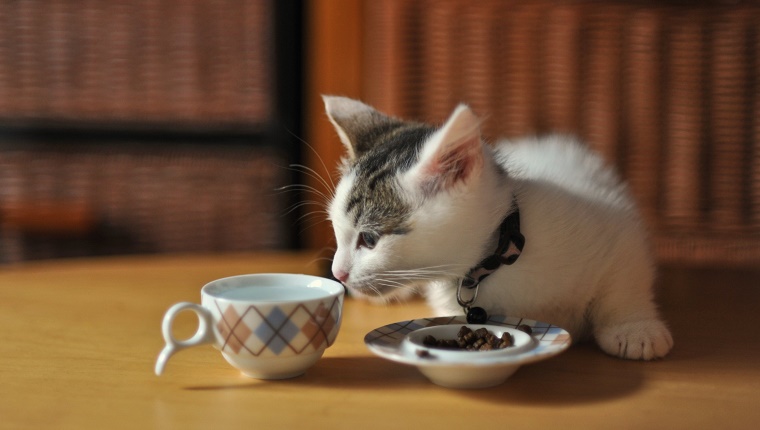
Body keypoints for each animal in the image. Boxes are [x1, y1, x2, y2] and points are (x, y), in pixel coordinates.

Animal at [324, 95, 672, 360]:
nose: (337, 273)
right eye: (337, 231)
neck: (497, 261)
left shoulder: (617, 223)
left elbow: (625, 278)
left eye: (369, 239)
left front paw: (635, 328)